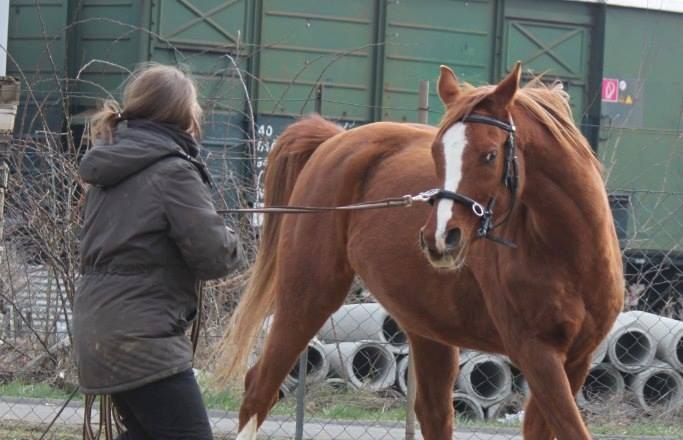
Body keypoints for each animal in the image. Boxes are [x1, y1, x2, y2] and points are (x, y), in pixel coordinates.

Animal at [218, 65, 624, 440]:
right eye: (436, 153)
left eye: (490, 155)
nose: (441, 237)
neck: (566, 251)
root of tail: (333, 141)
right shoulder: (536, 354)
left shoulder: (576, 358)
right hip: (307, 298)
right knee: (259, 389)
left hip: (427, 330)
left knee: (433, 412)